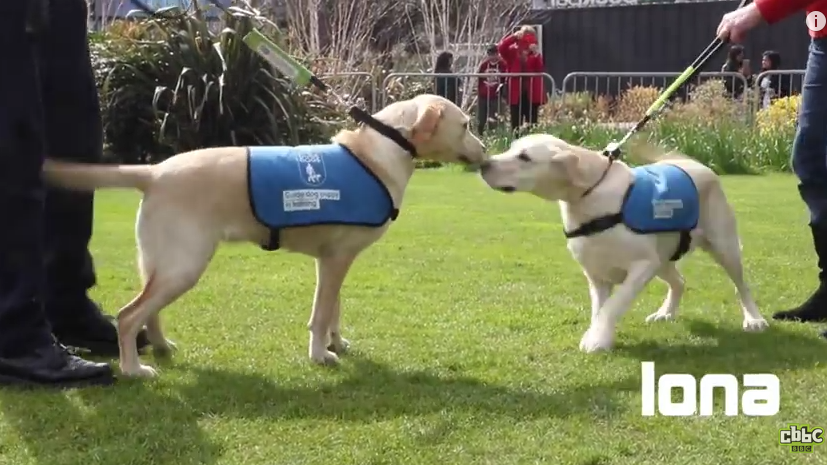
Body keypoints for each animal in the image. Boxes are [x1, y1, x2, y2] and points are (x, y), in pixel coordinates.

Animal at [43, 94, 486, 376]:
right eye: (465, 124)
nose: (484, 149)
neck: (377, 154)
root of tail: (154, 171)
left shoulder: (334, 259)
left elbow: (334, 308)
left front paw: (337, 344)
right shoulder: (336, 259)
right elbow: (321, 314)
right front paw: (321, 355)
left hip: (160, 264)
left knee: (147, 313)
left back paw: (163, 348)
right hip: (184, 265)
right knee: (128, 315)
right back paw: (134, 369)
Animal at [478, 134, 768, 352]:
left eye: (524, 157)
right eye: (510, 147)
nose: (483, 164)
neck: (589, 195)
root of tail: (694, 163)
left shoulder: (642, 265)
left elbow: (613, 306)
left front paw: (597, 340)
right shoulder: (597, 275)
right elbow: (599, 309)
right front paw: (598, 334)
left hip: (723, 246)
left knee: (741, 286)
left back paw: (754, 319)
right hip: (664, 256)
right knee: (679, 282)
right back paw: (665, 312)